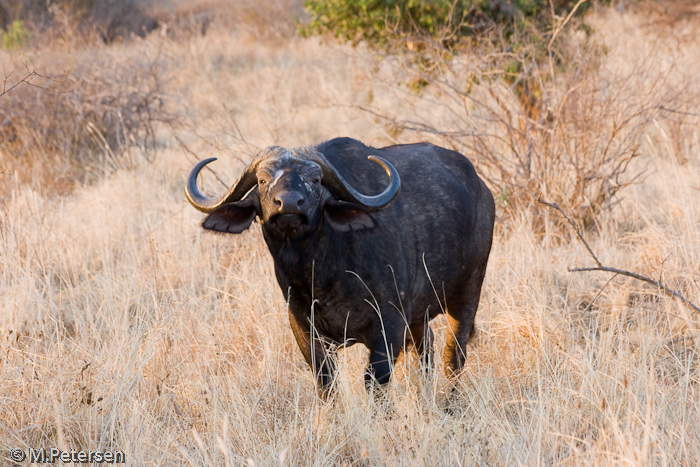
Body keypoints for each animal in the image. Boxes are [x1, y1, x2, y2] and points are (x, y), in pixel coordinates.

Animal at [183, 137, 494, 396]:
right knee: (426, 349)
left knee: (454, 355)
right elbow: (326, 384)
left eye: (315, 179)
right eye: (261, 180)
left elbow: (375, 383)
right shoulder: (304, 330)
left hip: (468, 293)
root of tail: (481, 188)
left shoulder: (389, 326)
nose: (289, 203)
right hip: (420, 315)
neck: (320, 271)